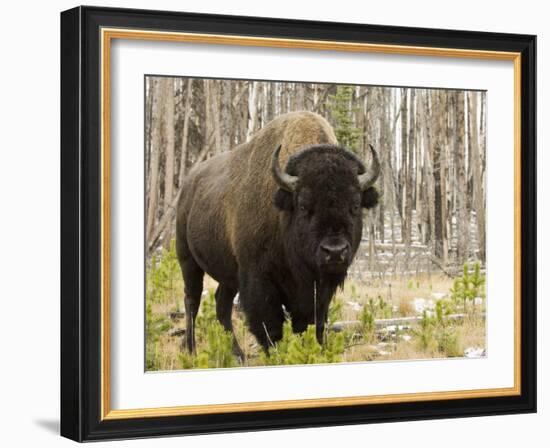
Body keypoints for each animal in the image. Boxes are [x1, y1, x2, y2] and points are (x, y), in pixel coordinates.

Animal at [177, 110, 380, 356]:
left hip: (229, 274)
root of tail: (188, 184)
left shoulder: (317, 293)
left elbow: (312, 324)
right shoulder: (259, 280)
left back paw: (237, 354)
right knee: (192, 300)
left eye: (355, 204)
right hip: (187, 259)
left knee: (221, 303)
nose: (334, 252)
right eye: (303, 205)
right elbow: (270, 326)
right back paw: (191, 350)